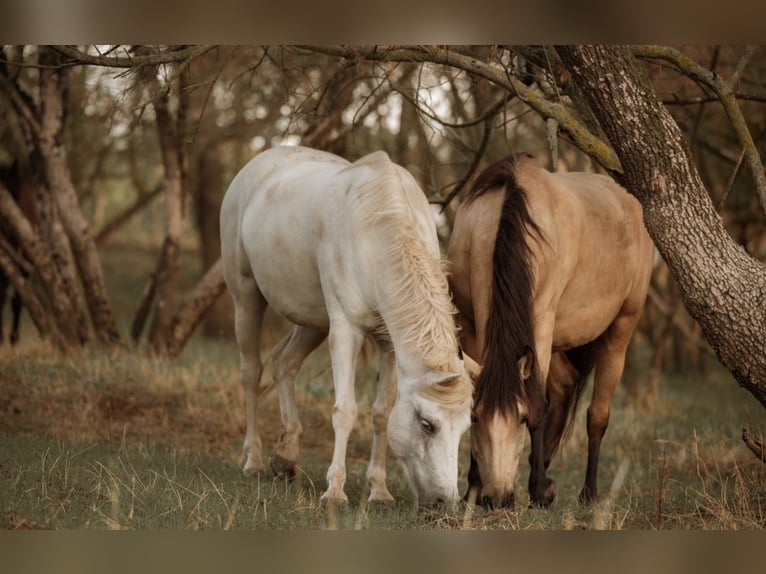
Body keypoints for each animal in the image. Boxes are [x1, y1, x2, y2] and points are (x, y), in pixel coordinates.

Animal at [450, 153, 656, 508]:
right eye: (475, 418)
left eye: (520, 418)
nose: (499, 498)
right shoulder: (473, 328)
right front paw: (473, 490)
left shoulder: (540, 323)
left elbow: (537, 402)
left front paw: (536, 489)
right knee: (563, 389)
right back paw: (545, 471)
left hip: (619, 329)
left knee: (596, 414)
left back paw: (587, 492)